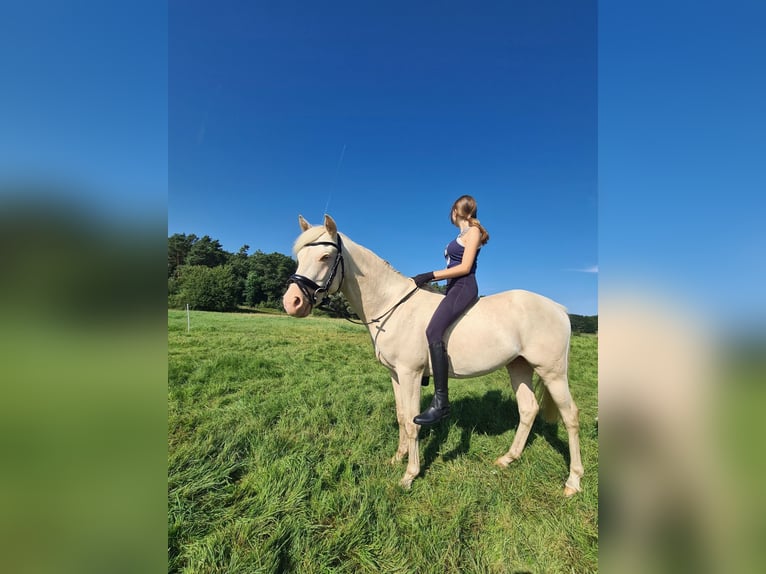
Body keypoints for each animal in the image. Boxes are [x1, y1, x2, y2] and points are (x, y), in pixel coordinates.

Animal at [284, 214, 584, 498]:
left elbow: (412, 421)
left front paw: (409, 475)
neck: (392, 306)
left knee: (570, 416)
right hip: (518, 366)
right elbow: (401, 416)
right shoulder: (395, 374)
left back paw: (573, 481)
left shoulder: (411, 373)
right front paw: (398, 458)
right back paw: (508, 459)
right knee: (528, 409)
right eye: (299, 257)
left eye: (325, 256)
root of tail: (558, 307)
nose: (291, 303)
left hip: (553, 372)